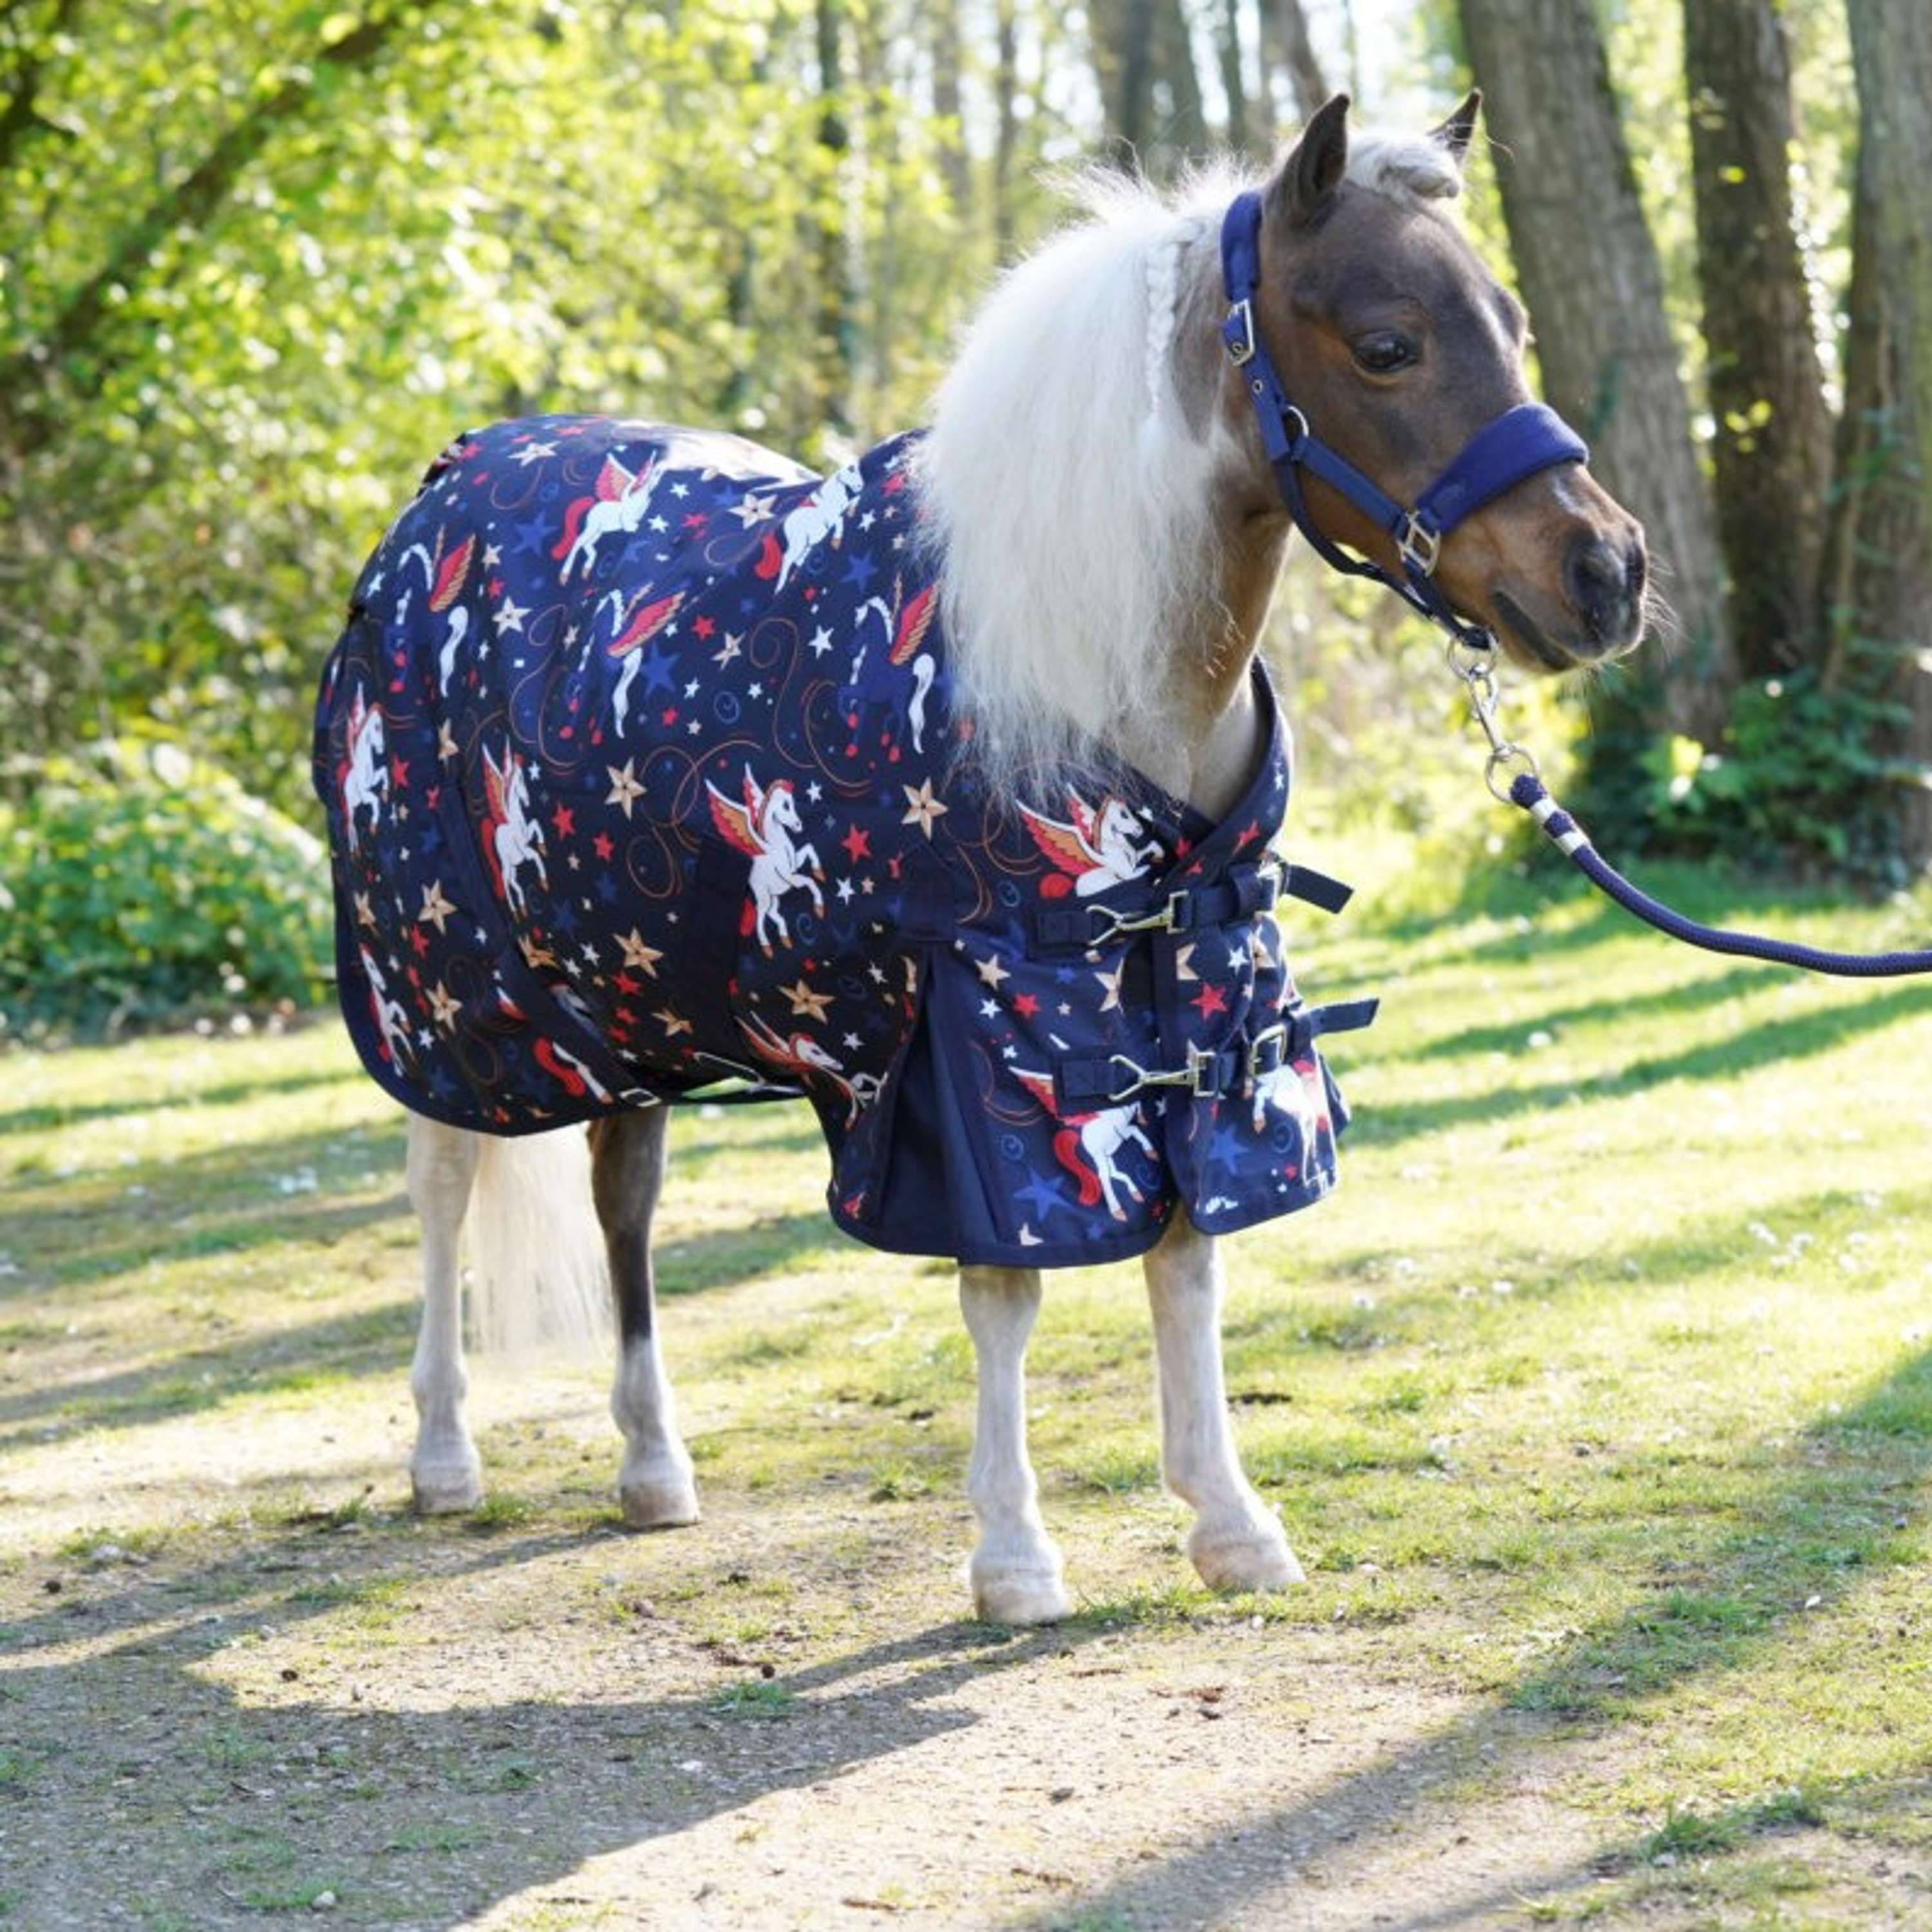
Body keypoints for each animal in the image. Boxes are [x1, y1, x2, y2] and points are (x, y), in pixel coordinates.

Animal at [319, 93, 1646, 1627]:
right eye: (1388, 344)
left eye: (1512, 320)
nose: (1608, 573)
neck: (1084, 661)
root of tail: (444, 490)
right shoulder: (983, 1029)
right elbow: (1006, 1287)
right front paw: (1014, 1557)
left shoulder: (1185, 988)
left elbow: (1188, 1253)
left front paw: (1229, 1521)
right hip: (452, 989)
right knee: (442, 1184)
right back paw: (444, 1454)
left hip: (616, 991)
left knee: (623, 1195)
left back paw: (653, 1465)